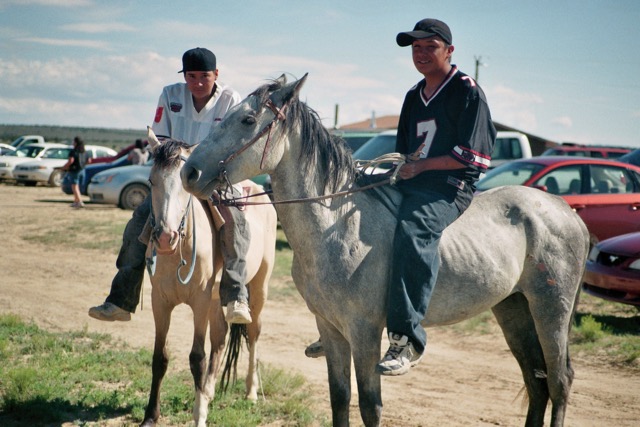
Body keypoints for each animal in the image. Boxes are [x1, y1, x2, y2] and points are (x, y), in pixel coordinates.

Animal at [141, 135, 276, 427]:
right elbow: (160, 357)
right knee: (220, 337)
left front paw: (199, 415)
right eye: (151, 181)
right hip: (216, 299)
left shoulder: (200, 302)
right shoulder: (160, 302)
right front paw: (150, 416)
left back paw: (250, 391)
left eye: (184, 187)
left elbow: (197, 358)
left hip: (259, 287)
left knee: (253, 333)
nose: (165, 238)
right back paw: (210, 390)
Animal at [180, 75, 592, 426]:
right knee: (537, 383)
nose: (189, 173)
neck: (336, 224)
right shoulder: (330, 327)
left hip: (550, 310)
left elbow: (369, 406)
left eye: (247, 119)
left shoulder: (364, 332)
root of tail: (567, 212)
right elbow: (340, 398)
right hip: (514, 310)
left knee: (559, 381)